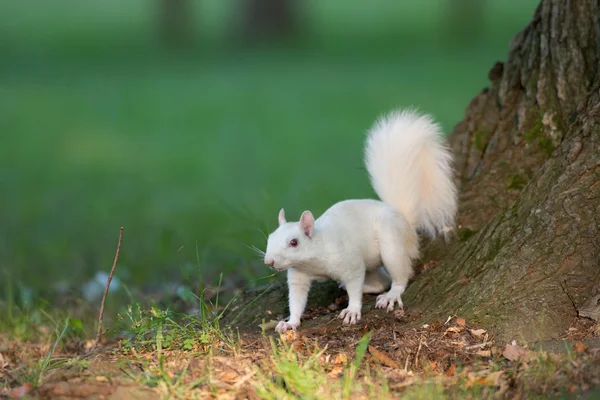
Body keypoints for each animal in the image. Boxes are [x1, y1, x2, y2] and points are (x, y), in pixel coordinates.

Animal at [264, 108, 458, 332]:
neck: (314, 259)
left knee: (399, 277)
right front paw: (290, 323)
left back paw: (391, 295)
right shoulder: (298, 276)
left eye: (294, 242)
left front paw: (352, 310)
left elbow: (355, 284)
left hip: (391, 243)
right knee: (381, 280)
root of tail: (405, 221)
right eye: (269, 239)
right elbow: (296, 300)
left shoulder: (350, 262)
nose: (269, 261)